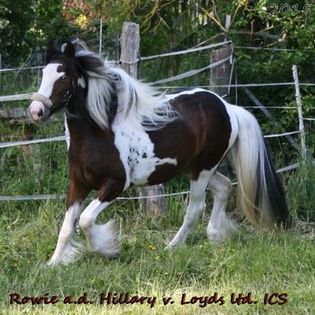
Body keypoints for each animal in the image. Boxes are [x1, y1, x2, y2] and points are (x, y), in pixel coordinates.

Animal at [28, 40, 290, 266]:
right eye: (43, 74)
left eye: (64, 76)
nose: (36, 111)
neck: (98, 134)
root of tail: (228, 107)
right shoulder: (78, 185)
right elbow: (66, 227)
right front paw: (53, 264)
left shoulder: (115, 185)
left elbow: (85, 220)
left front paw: (108, 249)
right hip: (196, 167)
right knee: (224, 187)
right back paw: (214, 237)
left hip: (203, 169)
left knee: (195, 208)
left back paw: (172, 247)